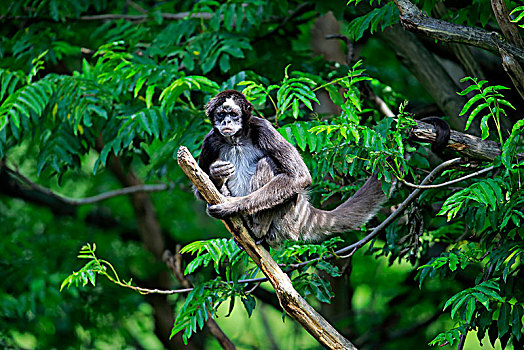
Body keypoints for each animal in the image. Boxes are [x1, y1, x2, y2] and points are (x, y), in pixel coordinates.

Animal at [194, 90, 386, 249]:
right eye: (221, 114)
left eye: (233, 114)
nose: (226, 121)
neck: (235, 140)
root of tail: (304, 208)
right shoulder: (210, 141)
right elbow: (199, 190)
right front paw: (217, 174)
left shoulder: (262, 127)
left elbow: (300, 177)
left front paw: (231, 205)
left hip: (286, 219)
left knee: (267, 162)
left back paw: (256, 229)